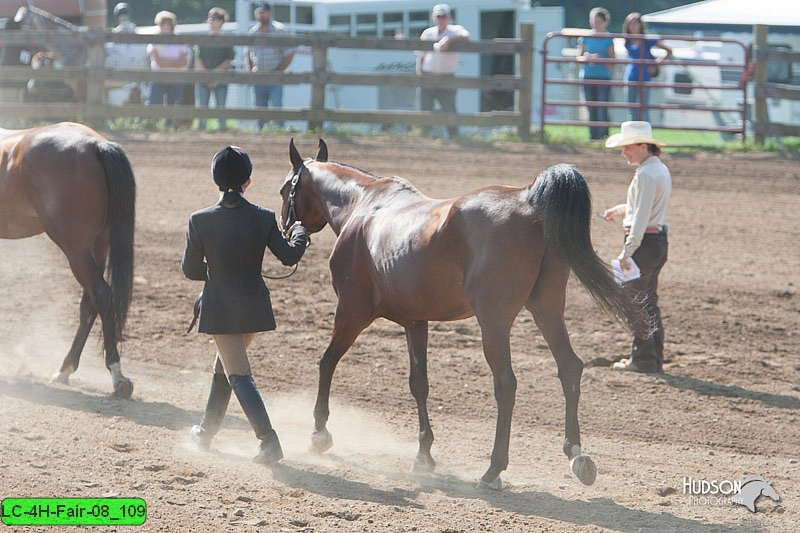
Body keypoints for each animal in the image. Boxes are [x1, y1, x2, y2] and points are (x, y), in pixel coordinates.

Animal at [0, 124, 136, 396]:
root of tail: (95, 145)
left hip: (76, 249)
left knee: (102, 296)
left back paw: (116, 375)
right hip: (97, 247)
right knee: (89, 305)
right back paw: (65, 369)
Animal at [280, 139, 644, 488]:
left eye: (286, 190)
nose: (285, 229)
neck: (363, 206)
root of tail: (528, 198)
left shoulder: (351, 312)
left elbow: (327, 362)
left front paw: (319, 433)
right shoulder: (415, 322)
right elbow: (419, 383)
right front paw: (423, 454)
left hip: (494, 323)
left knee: (506, 384)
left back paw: (494, 469)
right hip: (547, 309)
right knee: (569, 367)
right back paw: (576, 454)